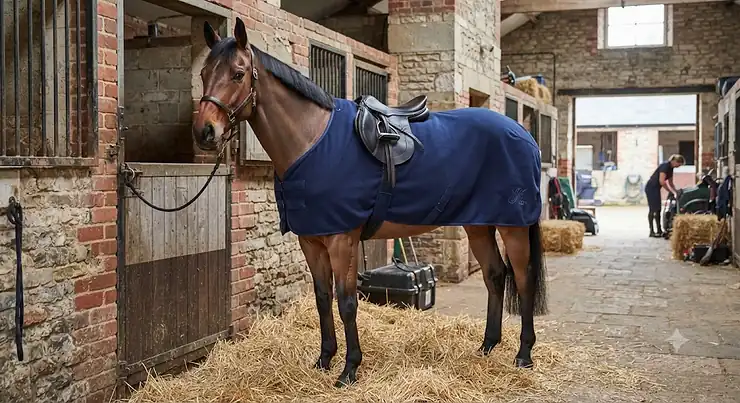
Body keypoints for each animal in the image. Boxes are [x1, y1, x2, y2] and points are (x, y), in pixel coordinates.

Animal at [193, 17, 548, 388]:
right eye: (203, 72)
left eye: (238, 73)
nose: (205, 132)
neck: (312, 140)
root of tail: (524, 135)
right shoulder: (311, 241)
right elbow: (323, 299)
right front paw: (324, 360)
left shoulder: (342, 240)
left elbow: (347, 302)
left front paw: (349, 369)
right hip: (478, 224)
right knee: (495, 275)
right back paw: (487, 346)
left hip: (513, 225)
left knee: (522, 279)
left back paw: (523, 354)